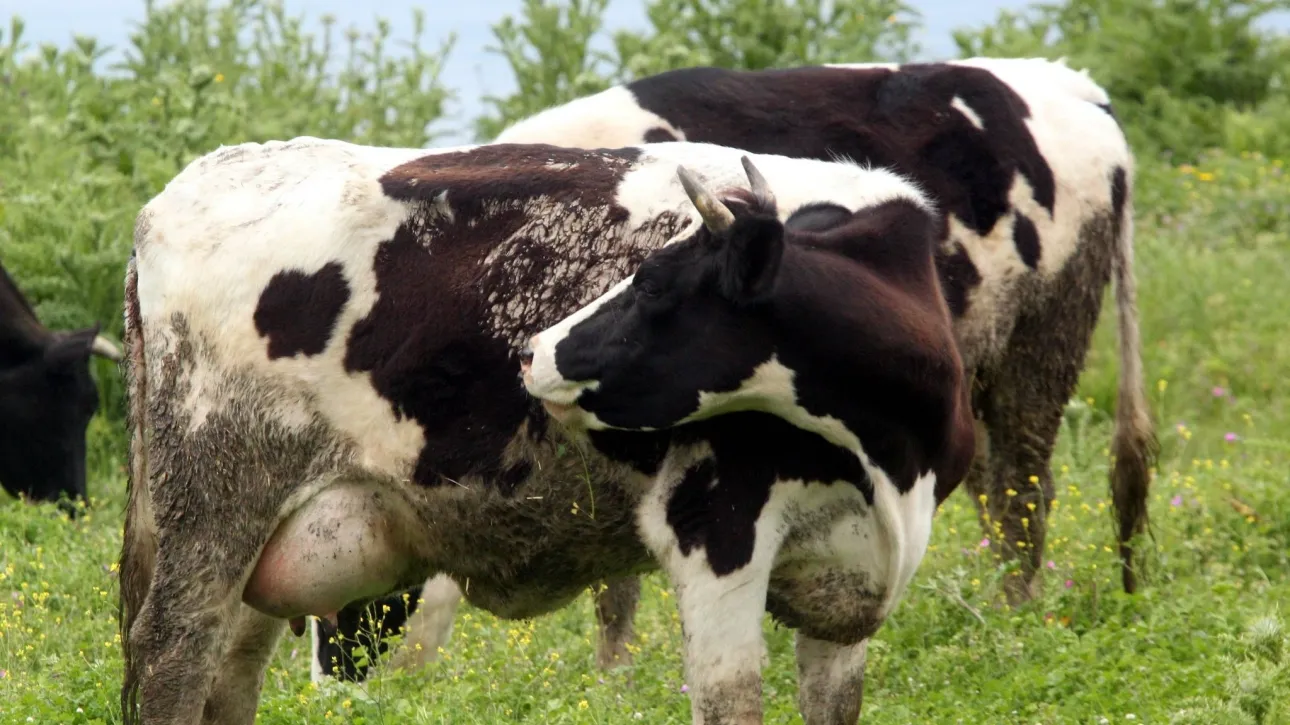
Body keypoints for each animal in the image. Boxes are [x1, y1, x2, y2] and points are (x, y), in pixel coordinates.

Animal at [113, 136, 949, 722]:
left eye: (653, 283)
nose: (534, 354)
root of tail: (173, 198)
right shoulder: (716, 528)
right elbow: (732, 700)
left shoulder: (852, 584)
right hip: (214, 511)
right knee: (171, 657)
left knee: (229, 676)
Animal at [495, 55, 1161, 598]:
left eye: (654, 284)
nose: (531, 355)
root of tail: (1072, 84)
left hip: (1045, 335)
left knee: (1021, 486)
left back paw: (1015, 612)